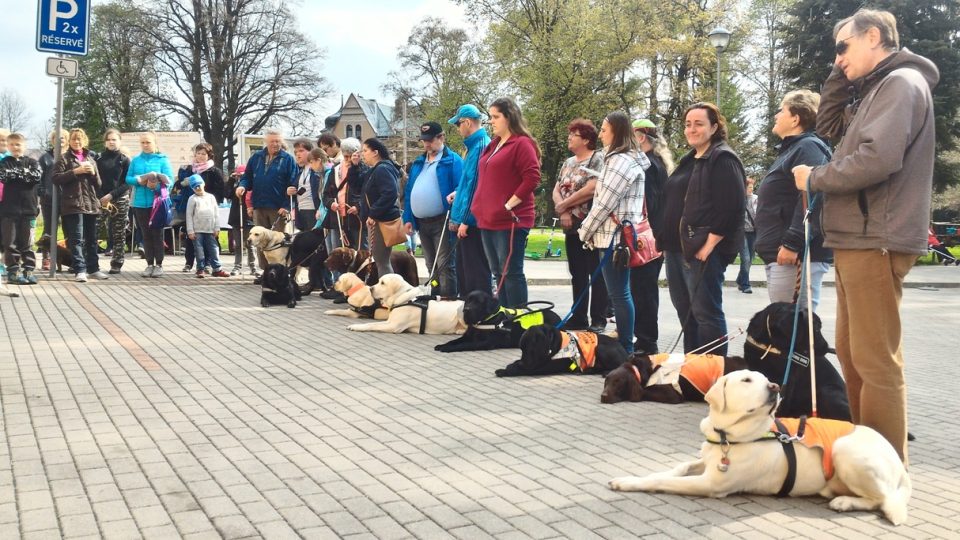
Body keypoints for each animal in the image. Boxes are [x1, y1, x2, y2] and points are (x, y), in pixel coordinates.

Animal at [436, 292, 564, 354]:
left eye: (478, 302)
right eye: (468, 300)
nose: (466, 310)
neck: (485, 320)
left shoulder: (486, 342)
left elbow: (464, 345)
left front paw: (448, 348)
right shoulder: (468, 336)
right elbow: (454, 341)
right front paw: (443, 345)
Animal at [612, 370, 912, 524]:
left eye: (766, 379)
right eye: (746, 380)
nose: (775, 386)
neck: (728, 434)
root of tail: (901, 467)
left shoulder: (711, 484)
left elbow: (664, 481)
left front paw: (627, 482)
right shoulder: (705, 459)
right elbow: (677, 466)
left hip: (845, 450)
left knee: (882, 499)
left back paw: (845, 501)